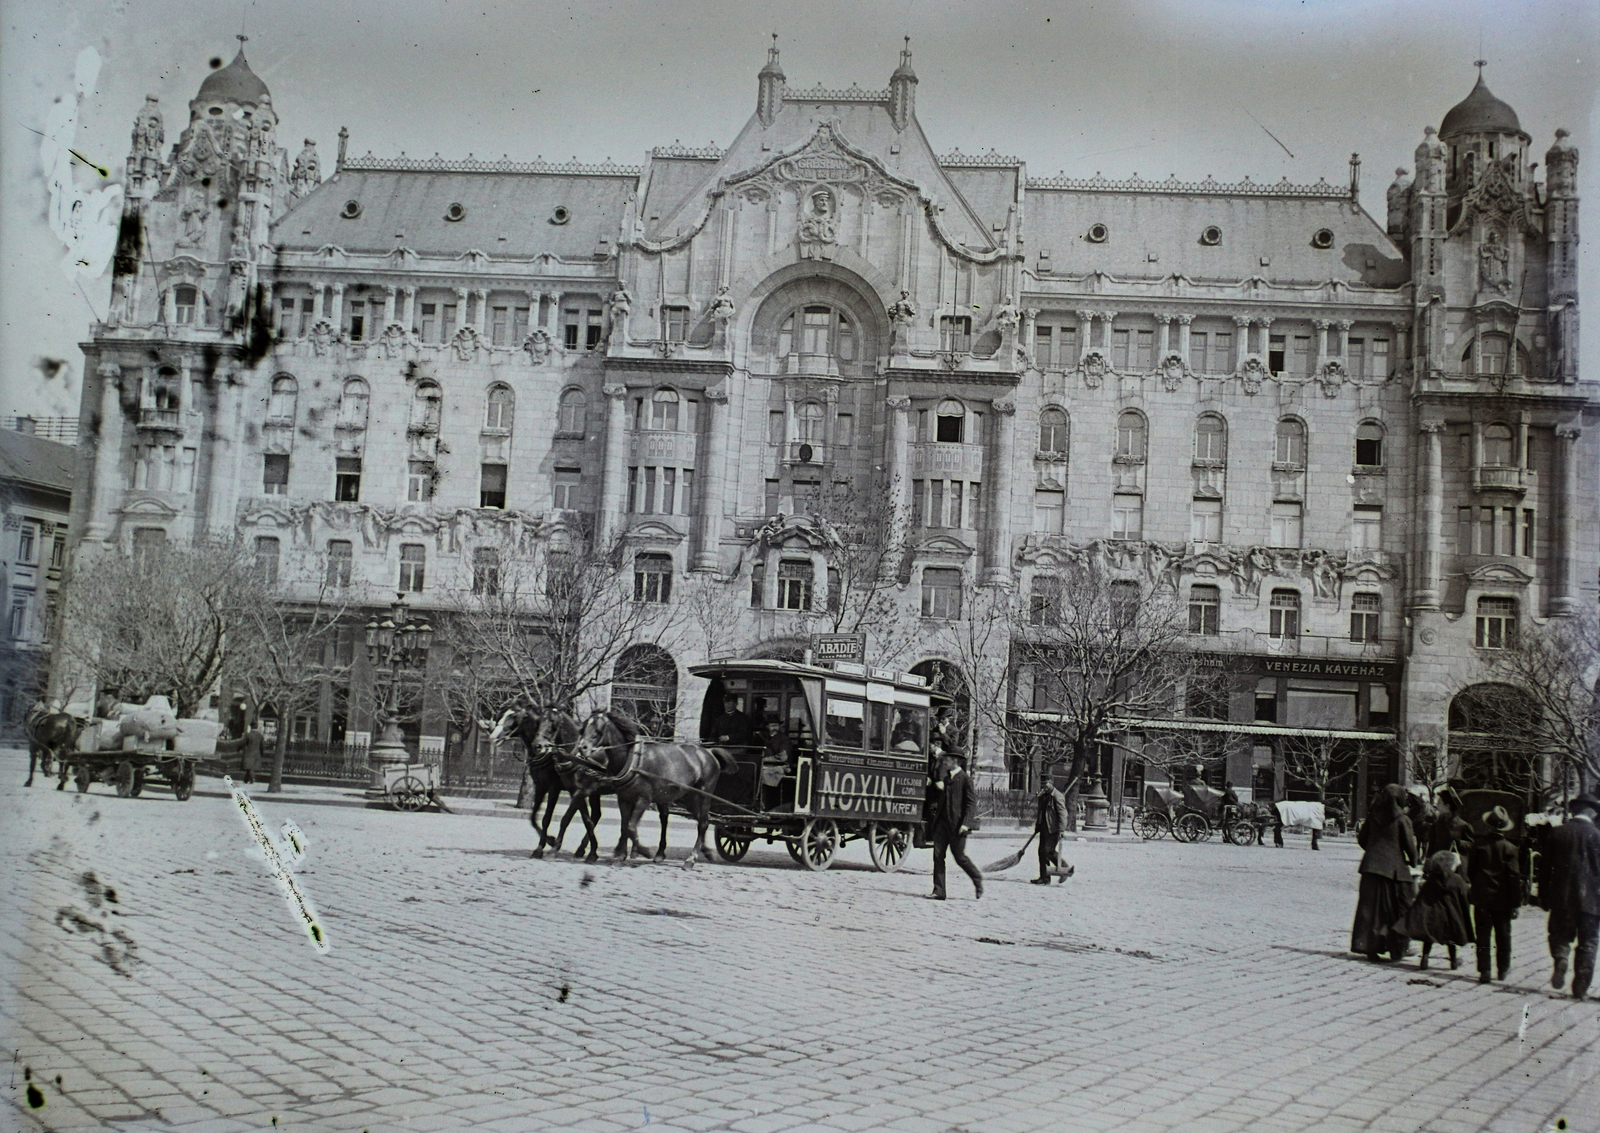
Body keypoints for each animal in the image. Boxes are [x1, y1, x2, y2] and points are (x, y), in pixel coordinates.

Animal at [486, 707, 601, 857]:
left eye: (514, 717)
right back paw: (582, 849)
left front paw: (544, 847)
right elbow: (534, 818)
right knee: (596, 815)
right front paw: (549, 842)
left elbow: (549, 818)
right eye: (501, 715)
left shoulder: (555, 788)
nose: (494, 736)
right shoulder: (541, 786)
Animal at [572, 707, 729, 870]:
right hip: (689, 797)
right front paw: (621, 856)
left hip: (704, 794)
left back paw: (691, 859)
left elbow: (631, 827)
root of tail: (709, 752)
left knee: (703, 823)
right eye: (583, 727)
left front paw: (644, 851)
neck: (633, 760)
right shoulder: (624, 799)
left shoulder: (643, 800)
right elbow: (624, 827)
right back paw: (704, 851)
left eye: (598, 728)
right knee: (700, 820)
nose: (582, 748)